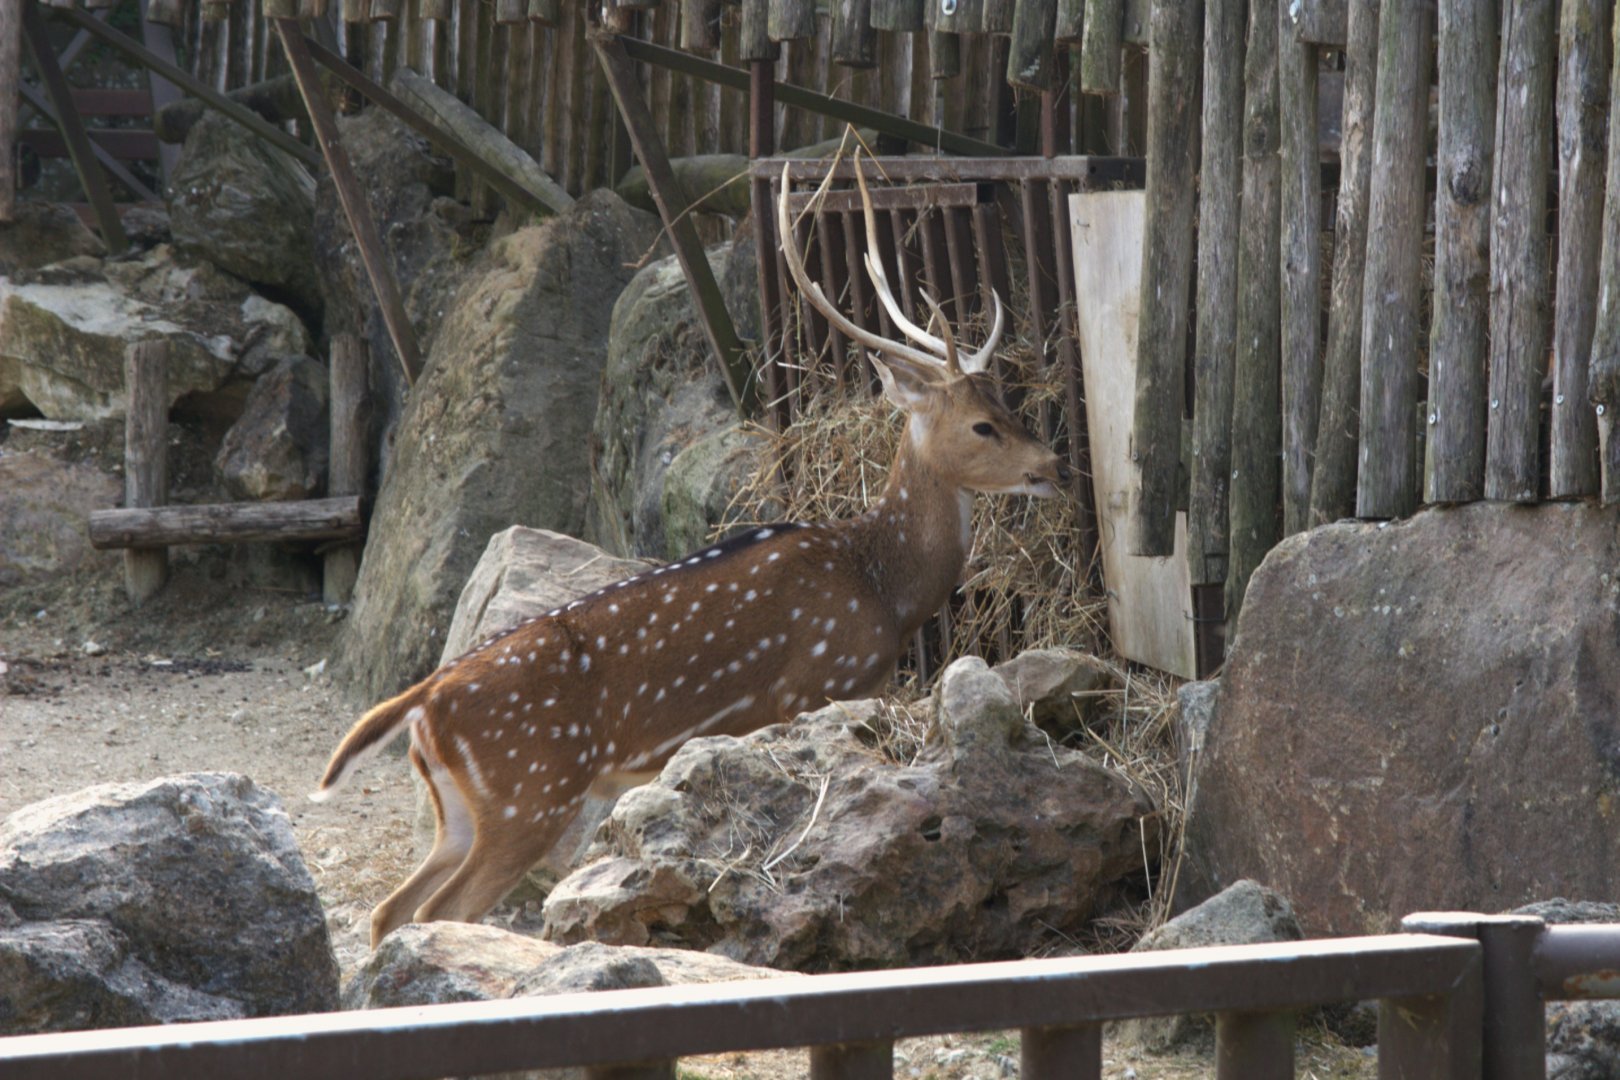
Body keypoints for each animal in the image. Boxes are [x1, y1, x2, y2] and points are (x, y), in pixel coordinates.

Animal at [312, 157, 1067, 948]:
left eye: (1008, 403)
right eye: (983, 426)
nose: (1052, 463)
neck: (881, 589)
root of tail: (423, 704)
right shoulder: (814, 686)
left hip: (458, 808)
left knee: (390, 908)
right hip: (529, 793)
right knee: (439, 909)